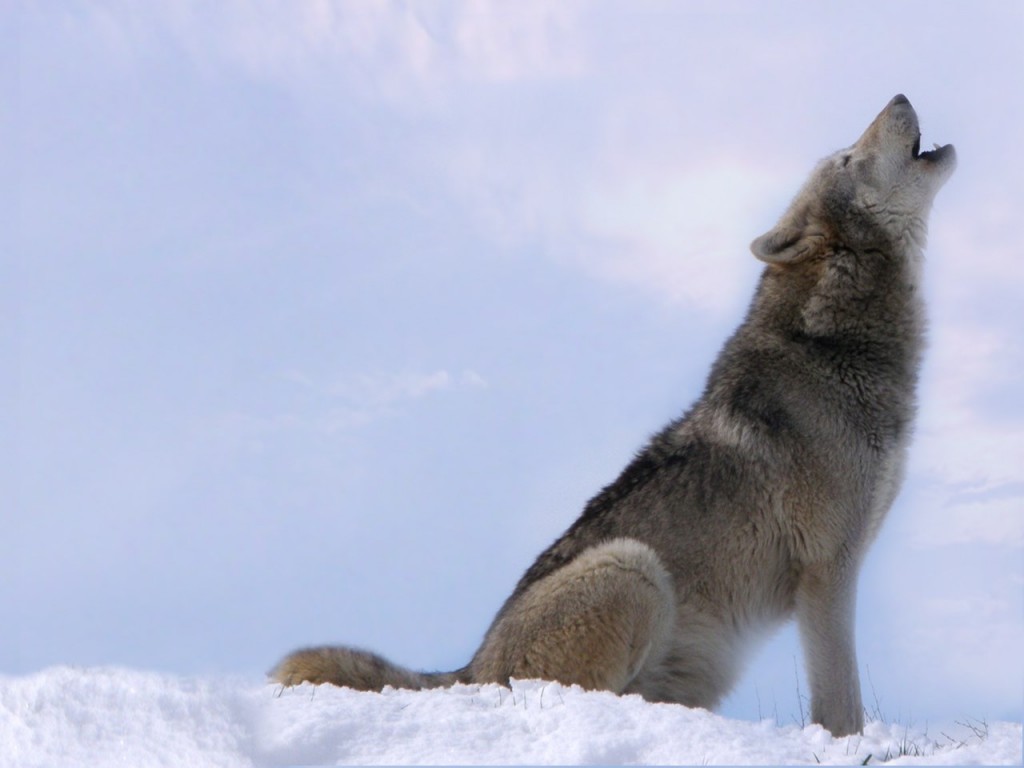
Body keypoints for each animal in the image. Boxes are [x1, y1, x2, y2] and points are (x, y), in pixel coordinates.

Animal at [270, 95, 955, 737]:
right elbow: (842, 703)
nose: (900, 95)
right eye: (847, 158)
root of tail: (469, 670)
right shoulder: (828, 569)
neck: (833, 345)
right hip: (633, 568)